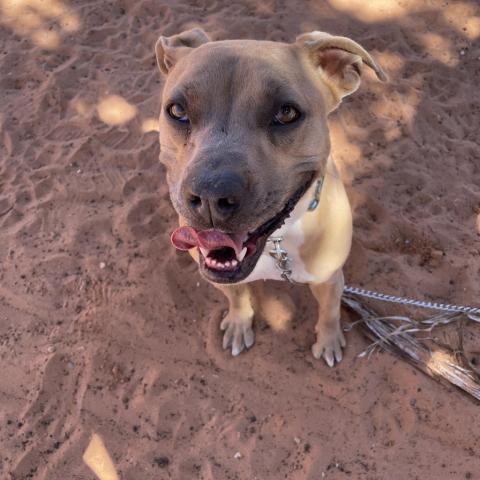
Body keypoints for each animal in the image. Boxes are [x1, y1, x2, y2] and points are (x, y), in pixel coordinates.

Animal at [155, 28, 386, 366]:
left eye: (287, 113)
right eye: (178, 111)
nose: (211, 194)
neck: (277, 243)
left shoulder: (330, 280)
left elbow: (329, 314)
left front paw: (329, 341)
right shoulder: (224, 277)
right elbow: (238, 297)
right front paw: (239, 324)